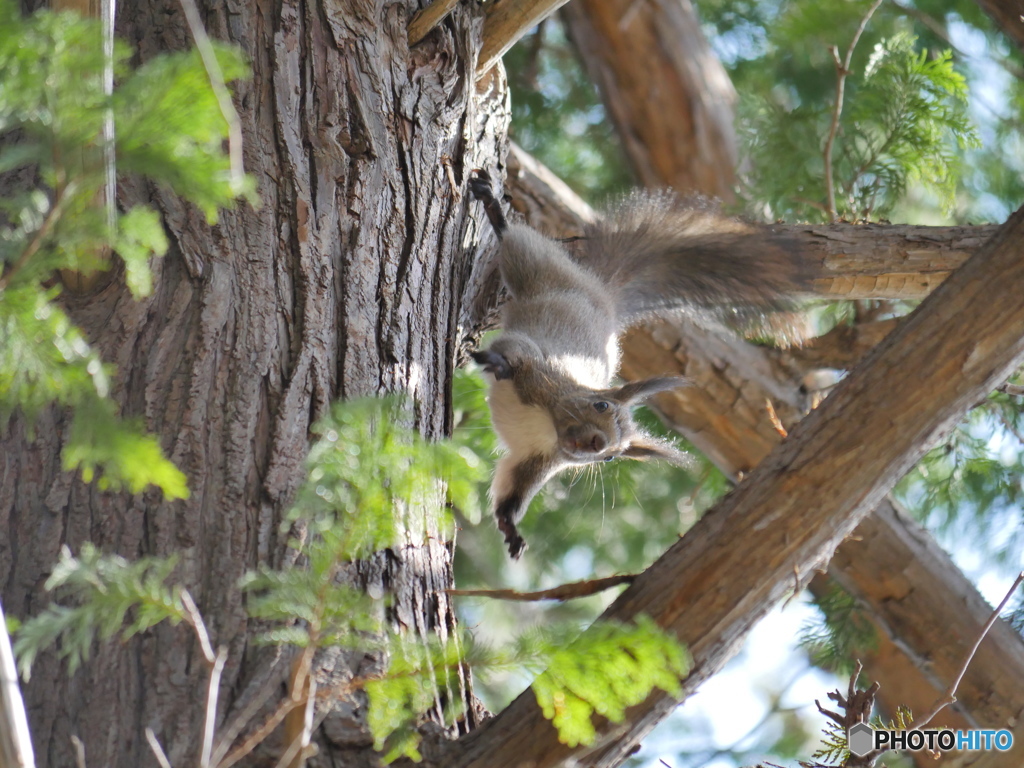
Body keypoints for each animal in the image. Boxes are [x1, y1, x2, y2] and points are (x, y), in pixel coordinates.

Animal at [468, 171, 811, 561]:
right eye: (601, 404)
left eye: (612, 459)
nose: (598, 444)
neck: (549, 422)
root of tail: (606, 294)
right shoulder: (540, 369)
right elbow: (514, 354)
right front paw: (495, 361)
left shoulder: (537, 458)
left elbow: (513, 488)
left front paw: (511, 527)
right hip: (543, 274)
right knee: (523, 244)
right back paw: (495, 209)